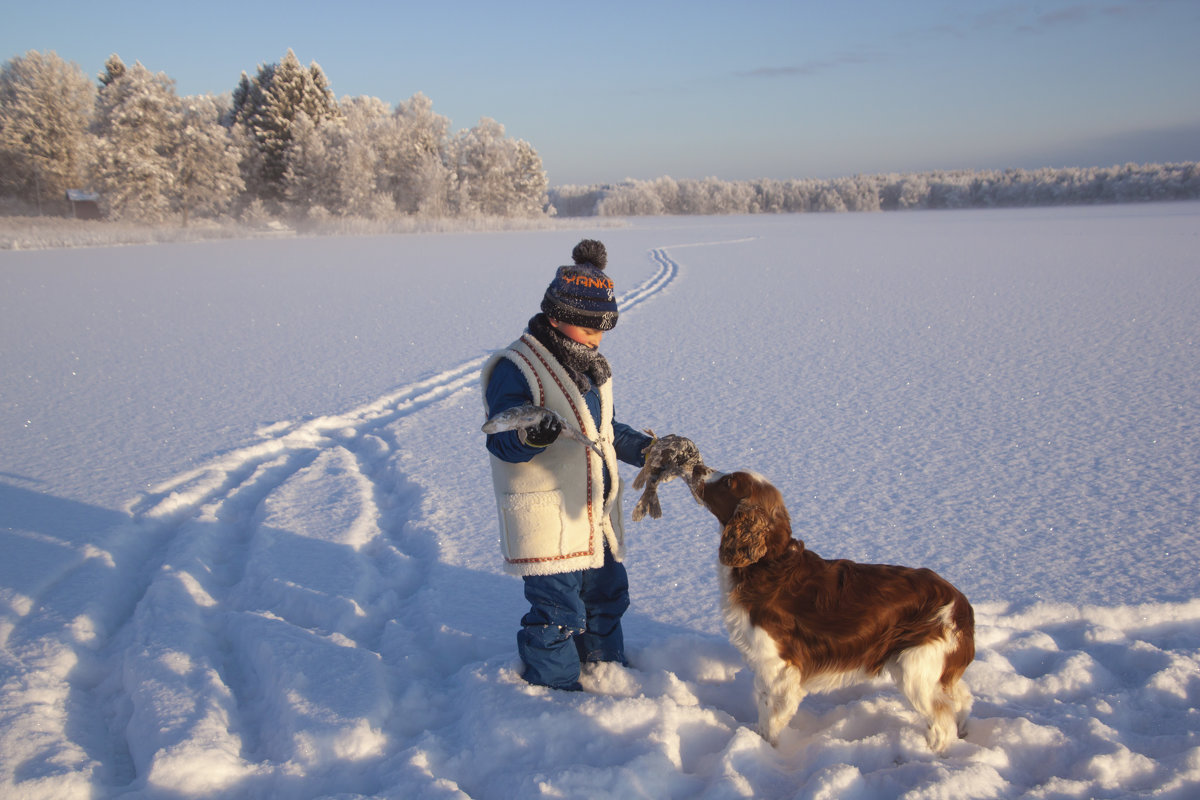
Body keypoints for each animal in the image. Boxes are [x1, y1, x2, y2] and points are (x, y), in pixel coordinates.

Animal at [686, 465, 974, 753]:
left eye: (728, 482)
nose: (697, 467)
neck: (766, 563)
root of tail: (961, 605)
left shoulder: (776, 666)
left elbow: (770, 719)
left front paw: (764, 750)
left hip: (914, 670)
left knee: (941, 723)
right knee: (963, 698)